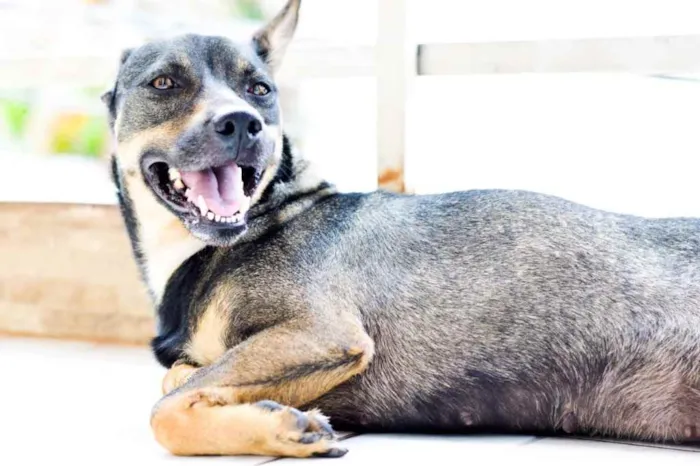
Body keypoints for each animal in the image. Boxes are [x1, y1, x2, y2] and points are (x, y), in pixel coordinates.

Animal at [101, 0, 700, 458]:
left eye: (261, 90)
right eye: (164, 83)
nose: (243, 123)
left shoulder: (322, 332)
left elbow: (165, 408)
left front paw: (282, 426)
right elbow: (178, 377)